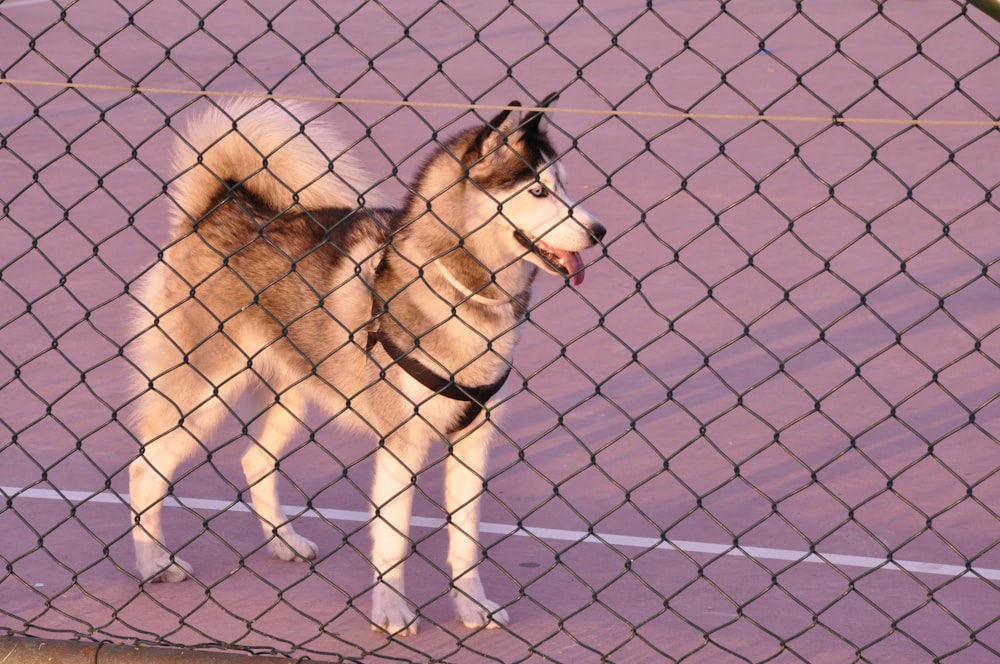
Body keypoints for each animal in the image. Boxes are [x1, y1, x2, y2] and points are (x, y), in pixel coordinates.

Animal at [128, 96, 604, 636]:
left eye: (564, 185)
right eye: (538, 191)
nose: (599, 231)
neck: (458, 289)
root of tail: (218, 209)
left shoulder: (472, 441)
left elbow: (465, 541)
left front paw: (471, 608)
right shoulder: (402, 444)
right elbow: (393, 540)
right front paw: (391, 613)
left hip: (290, 395)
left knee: (254, 461)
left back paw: (284, 542)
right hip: (201, 394)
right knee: (145, 469)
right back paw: (154, 563)